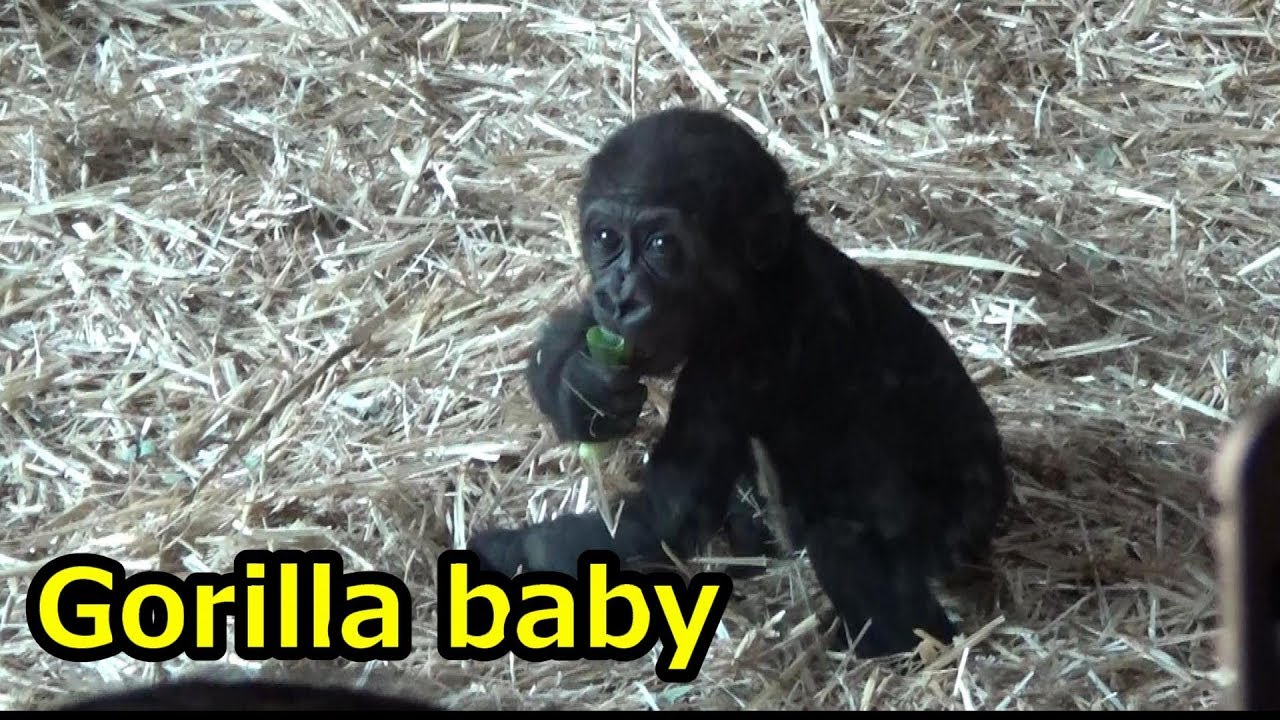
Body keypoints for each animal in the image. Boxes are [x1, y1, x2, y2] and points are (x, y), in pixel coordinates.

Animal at [468, 106, 1011, 658]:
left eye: (661, 246)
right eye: (604, 239)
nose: (620, 297)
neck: (761, 279)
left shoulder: (747, 354)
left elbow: (666, 514)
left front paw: (496, 555)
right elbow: (572, 335)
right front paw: (584, 386)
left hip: (957, 524)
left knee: (843, 542)